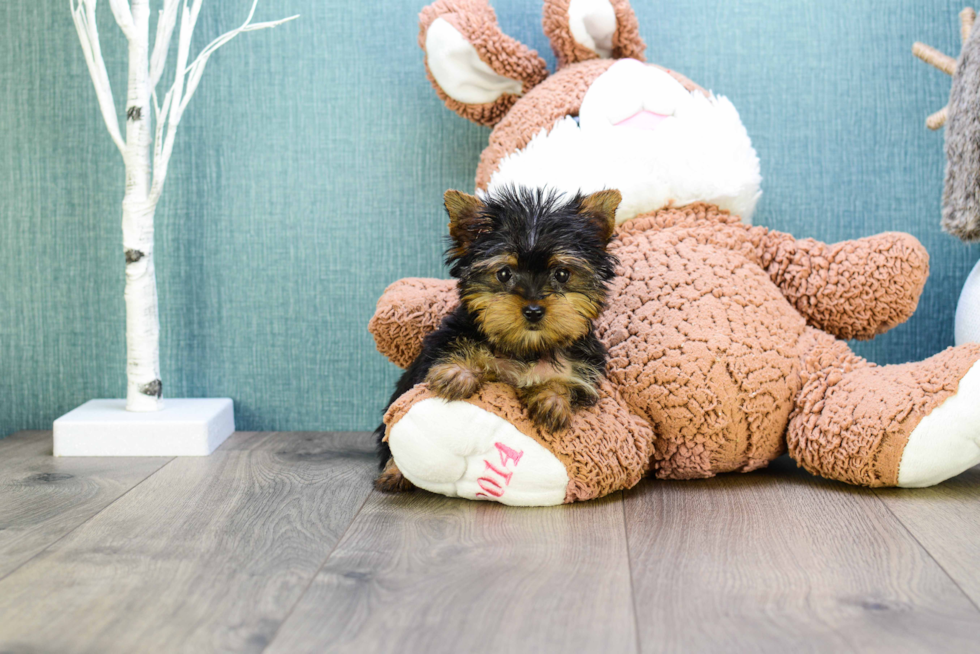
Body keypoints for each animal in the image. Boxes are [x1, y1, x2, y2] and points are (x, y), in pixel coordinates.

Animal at [376, 184, 620, 492]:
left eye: (562, 274)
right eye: (504, 273)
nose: (533, 310)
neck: (526, 347)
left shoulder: (582, 367)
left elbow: (565, 381)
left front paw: (552, 399)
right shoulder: (447, 338)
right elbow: (454, 347)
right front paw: (458, 373)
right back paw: (395, 472)